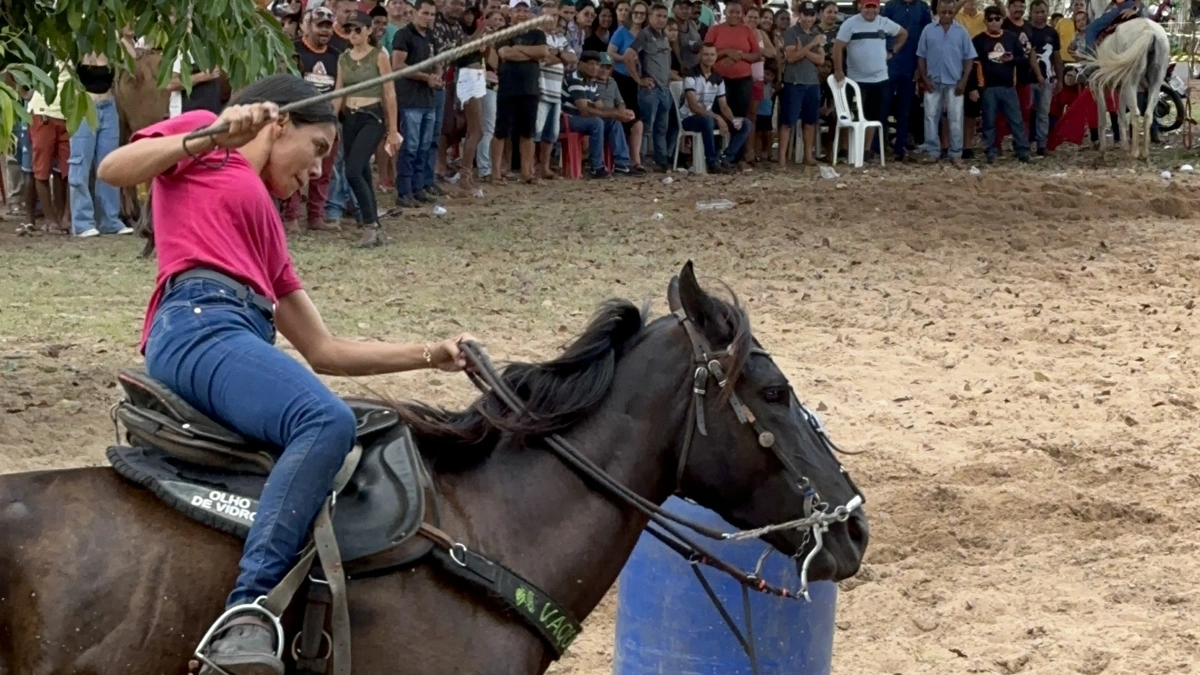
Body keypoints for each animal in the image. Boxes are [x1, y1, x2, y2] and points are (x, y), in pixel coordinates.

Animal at [1075, 0, 1166, 158]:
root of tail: (1149, 32)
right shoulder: (1120, 89)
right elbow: (1121, 115)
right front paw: (1124, 145)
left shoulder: (1098, 84)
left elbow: (1102, 117)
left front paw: (1102, 148)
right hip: (1155, 81)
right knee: (1148, 114)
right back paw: (1144, 152)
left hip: (1131, 82)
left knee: (1135, 114)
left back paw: (1135, 152)